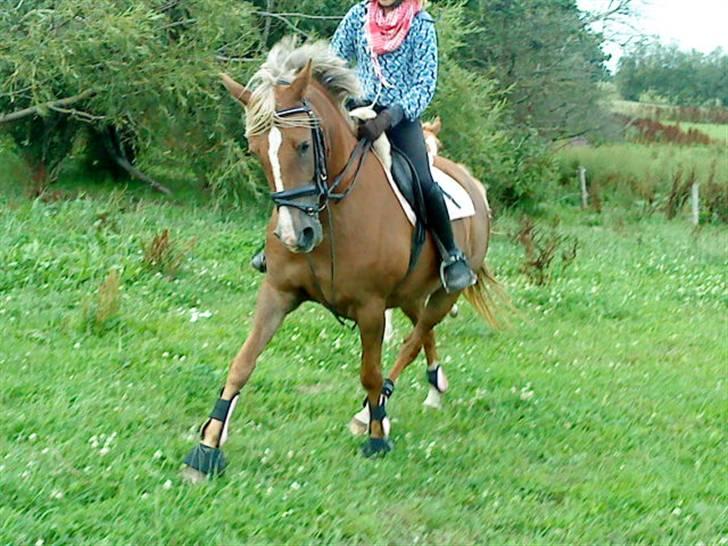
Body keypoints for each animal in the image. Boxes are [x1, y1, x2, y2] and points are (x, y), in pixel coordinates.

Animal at [182, 38, 500, 481]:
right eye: (255, 150)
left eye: (302, 145)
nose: (295, 235)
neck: (332, 213)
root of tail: (473, 184)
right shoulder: (277, 292)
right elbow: (242, 362)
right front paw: (208, 444)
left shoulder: (370, 309)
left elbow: (370, 373)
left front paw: (377, 437)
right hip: (409, 294)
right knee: (422, 333)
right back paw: (433, 388)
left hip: (444, 294)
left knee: (414, 338)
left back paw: (374, 411)